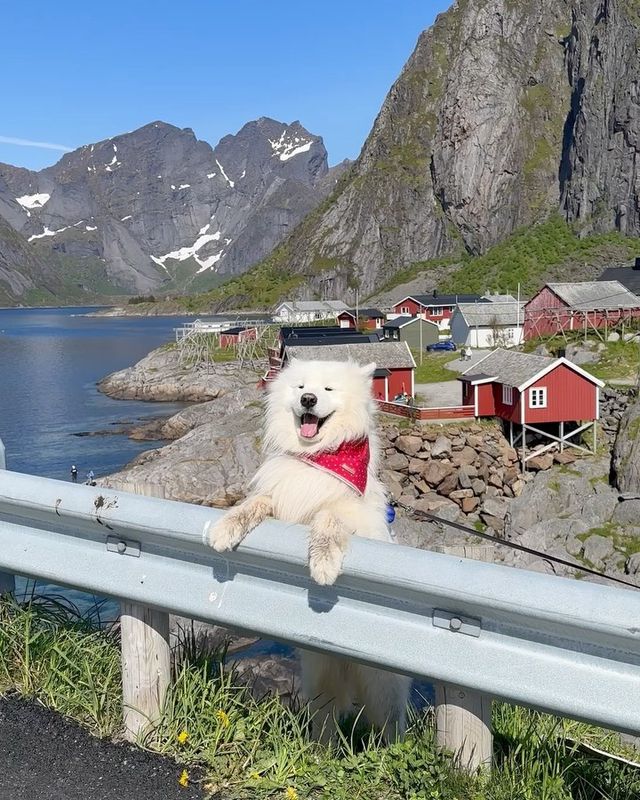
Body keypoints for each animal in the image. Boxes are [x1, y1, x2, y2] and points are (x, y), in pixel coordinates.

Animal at [208, 360, 412, 740]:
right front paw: (225, 528)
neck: (317, 456)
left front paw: (324, 564)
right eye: (301, 387)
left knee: (390, 725)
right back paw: (320, 749)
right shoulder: (283, 495)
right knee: (326, 720)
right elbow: (255, 502)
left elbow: (328, 516)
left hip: (382, 687)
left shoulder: (358, 518)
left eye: (328, 389)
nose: (308, 399)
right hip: (320, 677)